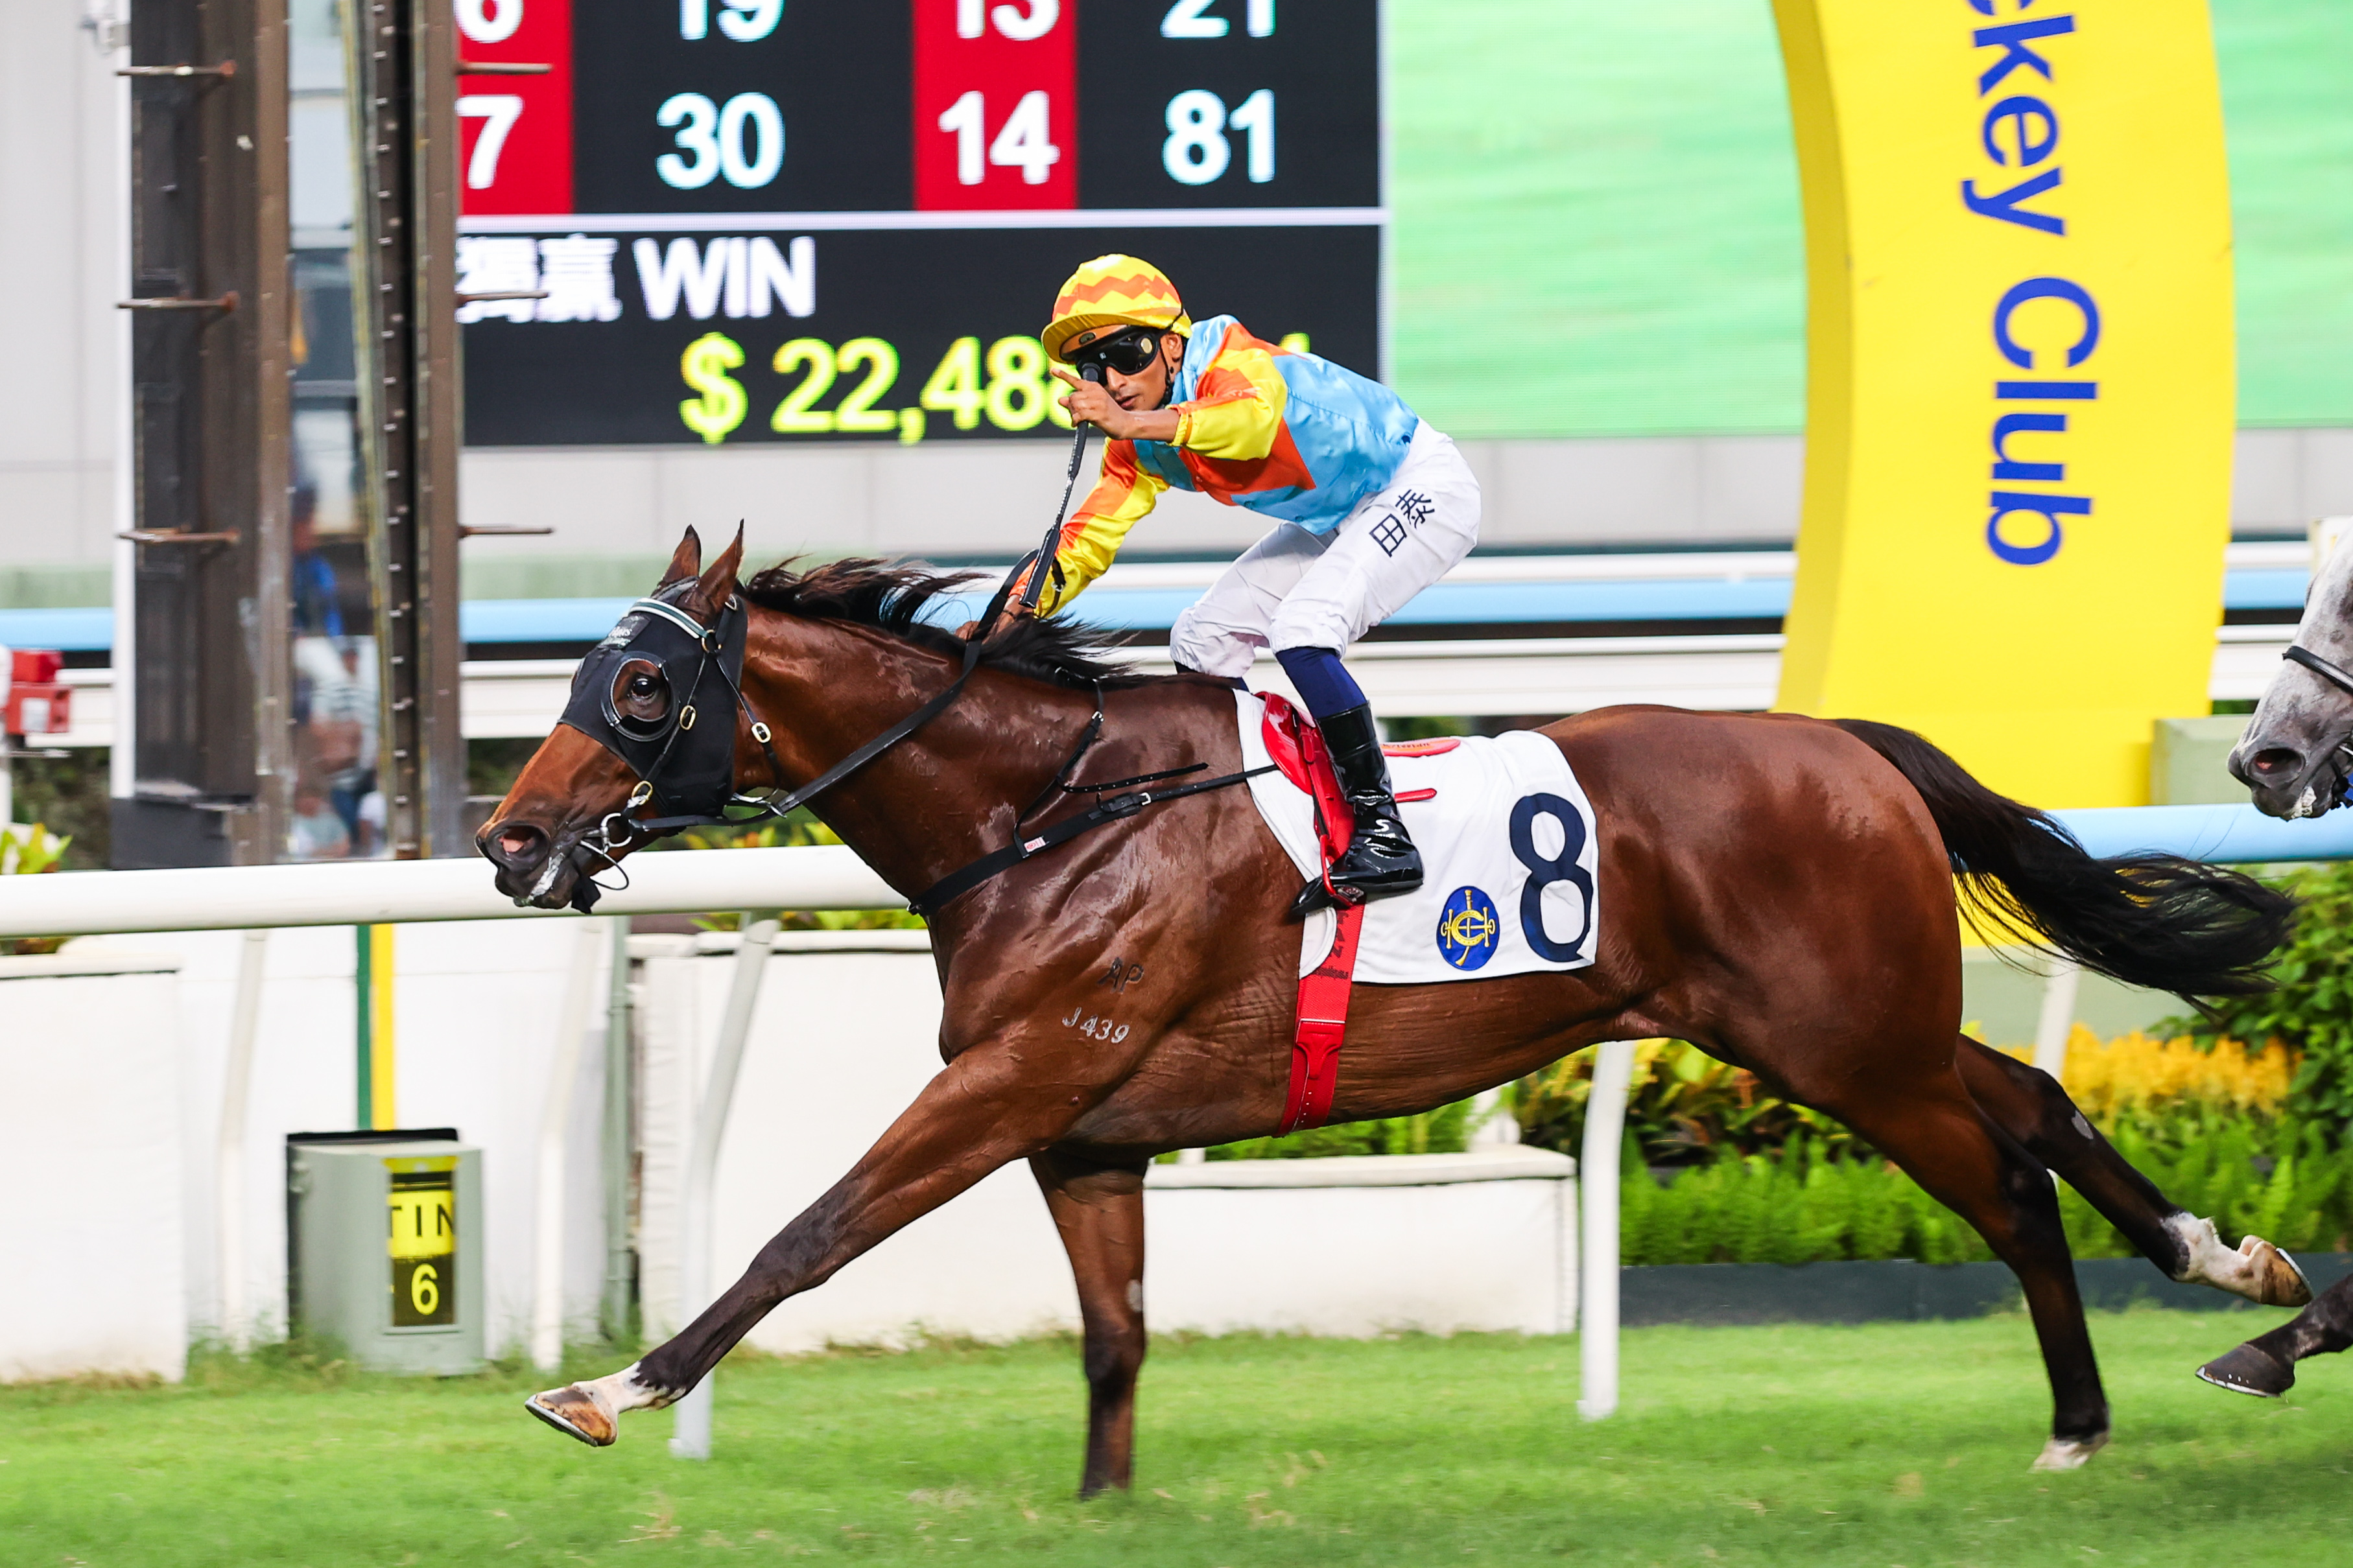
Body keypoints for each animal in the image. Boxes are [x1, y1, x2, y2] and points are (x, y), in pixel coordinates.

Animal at [487, 528, 2305, 1492]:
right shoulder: (1085, 1131)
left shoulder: (1014, 1079)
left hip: (1841, 1044)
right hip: (1849, 1027)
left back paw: (2081, 1419)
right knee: (2034, 1102)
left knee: (2000, 1177)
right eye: (579, 679)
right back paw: (2227, 1269)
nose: (510, 840)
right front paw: (1101, 1502)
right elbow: (1114, 1327)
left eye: (639, 690)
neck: (1047, 814)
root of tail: (1845, 744)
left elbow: (808, 1232)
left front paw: (611, 1389)